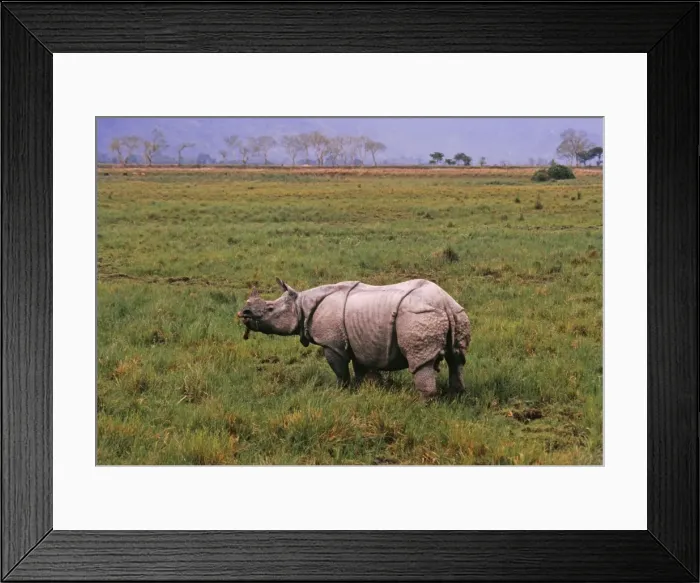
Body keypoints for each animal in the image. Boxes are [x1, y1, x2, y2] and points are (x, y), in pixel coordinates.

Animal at [237, 278, 472, 400]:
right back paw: (457, 395)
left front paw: (341, 392)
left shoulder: (332, 344)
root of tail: (444, 303)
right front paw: (368, 390)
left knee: (421, 361)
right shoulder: (361, 342)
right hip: (457, 312)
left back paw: (423, 403)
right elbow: (363, 370)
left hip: (418, 316)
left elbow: (340, 370)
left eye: (269, 309)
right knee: (457, 359)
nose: (244, 313)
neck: (301, 304)